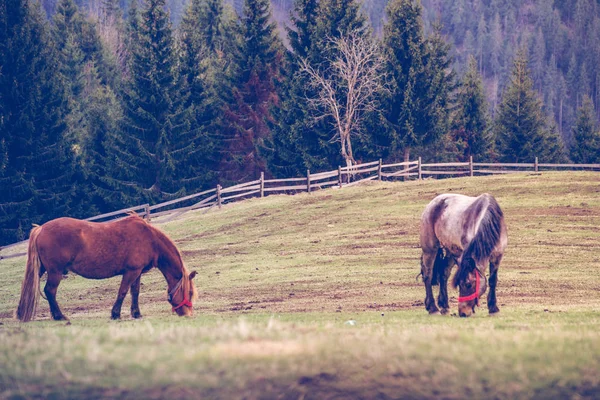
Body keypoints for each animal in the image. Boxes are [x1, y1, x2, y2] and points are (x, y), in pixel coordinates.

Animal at [15, 214, 198, 320]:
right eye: (189, 292)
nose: (187, 314)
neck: (149, 238)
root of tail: (41, 228)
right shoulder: (131, 271)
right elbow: (123, 291)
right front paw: (115, 314)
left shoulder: (137, 272)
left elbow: (135, 292)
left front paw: (136, 313)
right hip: (55, 272)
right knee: (50, 291)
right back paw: (60, 316)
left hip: (43, 270)